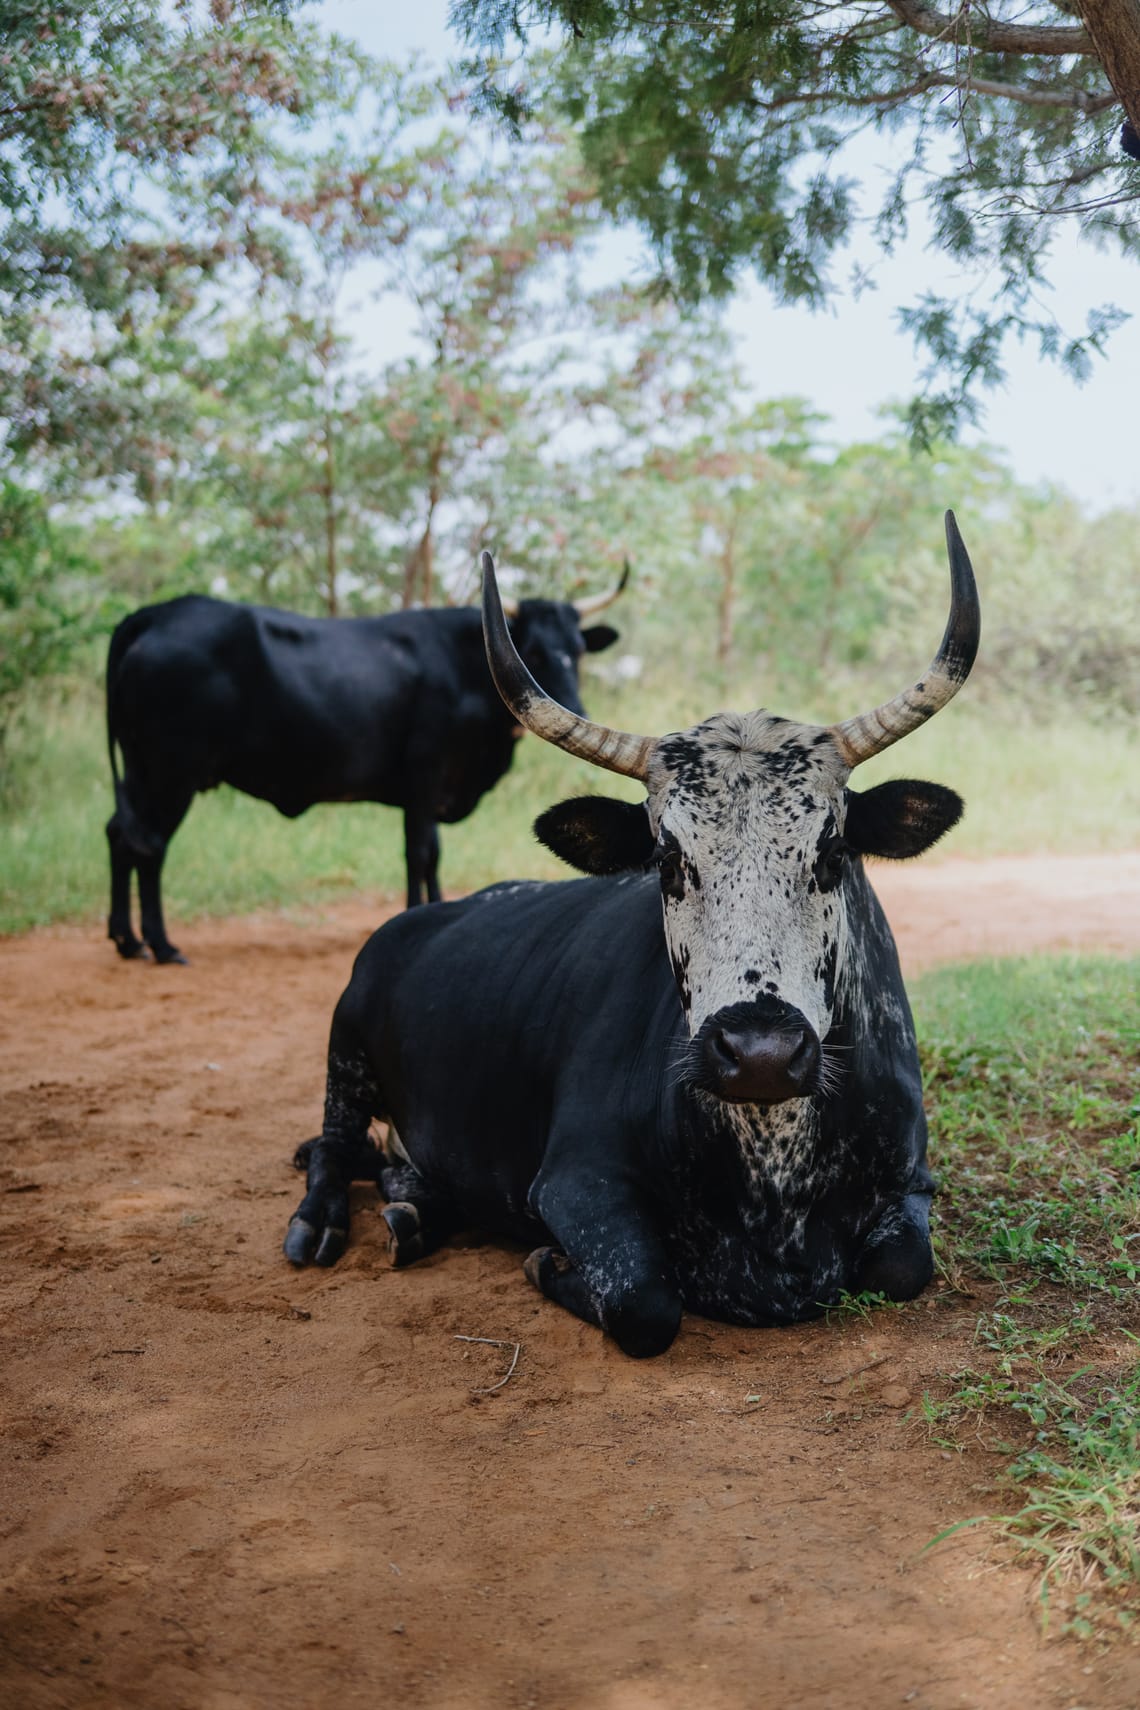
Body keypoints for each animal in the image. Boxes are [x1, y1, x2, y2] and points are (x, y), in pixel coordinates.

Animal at [104, 572, 626, 963]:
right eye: (531, 650)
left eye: (579, 650)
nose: (575, 707)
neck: (465, 665)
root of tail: (157, 613)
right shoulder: (424, 778)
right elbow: (419, 852)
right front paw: (417, 912)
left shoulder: (432, 790)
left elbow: (433, 854)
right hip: (169, 772)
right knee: (148, 844)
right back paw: (161, 944)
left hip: (140, 769)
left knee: (119, 834)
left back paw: (127, 940)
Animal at [284, 514, 980, 1358]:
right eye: (667, 858)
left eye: (832, 850)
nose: (760, 1053)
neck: (772, 1164)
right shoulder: (578, 1180)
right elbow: (643, 1302)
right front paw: (547, 1263)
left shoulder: (912, 1181)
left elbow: (904, 1268)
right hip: (343, 1047)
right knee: (331, 1145)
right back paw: (319, 1225)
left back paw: (413, 1210)